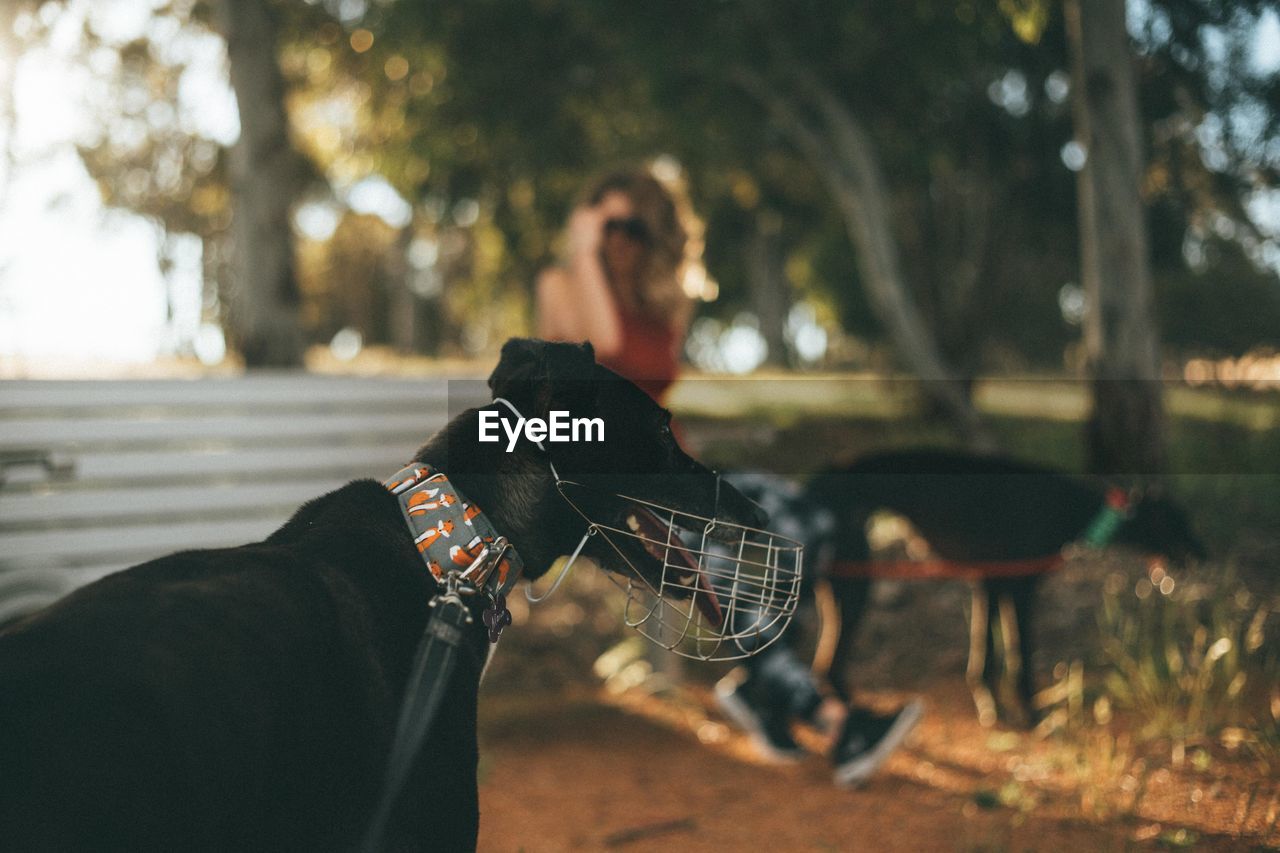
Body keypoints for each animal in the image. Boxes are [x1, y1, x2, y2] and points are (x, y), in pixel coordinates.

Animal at [803, 445, 1203, 722]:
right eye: (1175, 522)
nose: (1205, 553)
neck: (1071, 507)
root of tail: (817, 479)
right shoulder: (1021, 589)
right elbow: (1019, 655)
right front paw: (1030, 713)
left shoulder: (990, 584)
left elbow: (984, 655)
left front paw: (991, 707)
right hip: (853, 585)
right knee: (827, 664)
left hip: (838, 587)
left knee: (824, 664)